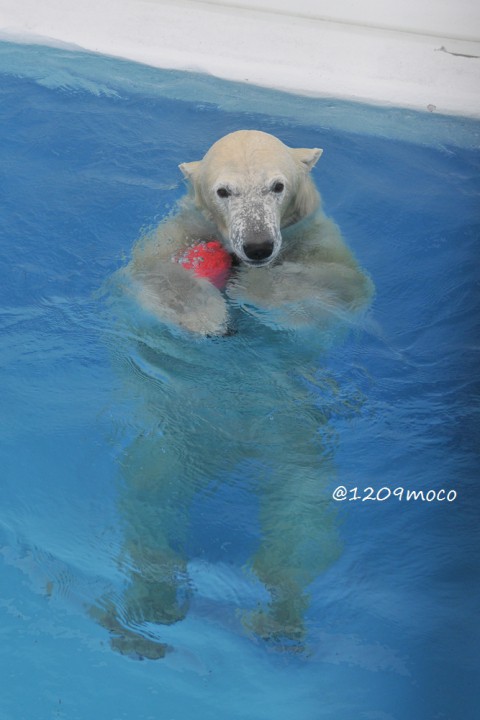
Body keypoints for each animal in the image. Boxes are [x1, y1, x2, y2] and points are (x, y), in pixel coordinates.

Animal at [126, 129, 372, 332]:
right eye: (223, 191)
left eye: (278, 186)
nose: (258, 247)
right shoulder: (188, 227)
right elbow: (152, 269)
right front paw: (202, 314)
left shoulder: (309, 234)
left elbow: (342, 282)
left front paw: (249, 285)